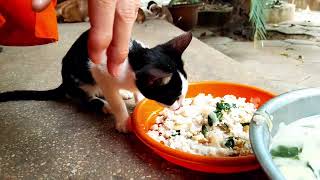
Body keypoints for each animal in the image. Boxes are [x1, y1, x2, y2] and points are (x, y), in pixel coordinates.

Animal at [0, 29, 191, 132]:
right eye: (173, 97)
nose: (180, 105)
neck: (134, 57)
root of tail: (64, 80)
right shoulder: (100, 71)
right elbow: (115, 100)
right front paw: (123, 121)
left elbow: (136, 90)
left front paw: (138, 100)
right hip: (80, 80)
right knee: (85, 97)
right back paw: (103, 104)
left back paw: (123, 93)